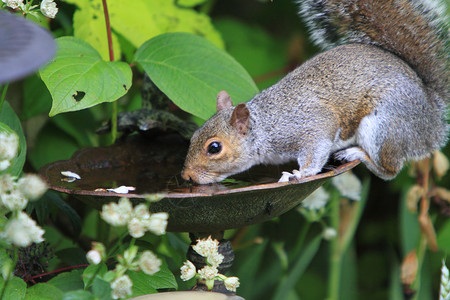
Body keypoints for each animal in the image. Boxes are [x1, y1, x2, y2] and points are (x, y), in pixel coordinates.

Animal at [181, 0, 448, 184]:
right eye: (193, 137)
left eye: (214, 148)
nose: (186, 176)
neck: (265, 127)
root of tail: (431, 116)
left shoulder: (312, 126)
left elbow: (315, 152)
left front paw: (300, 173)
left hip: (383, 126)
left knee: (389, 171)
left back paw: (357, 154)